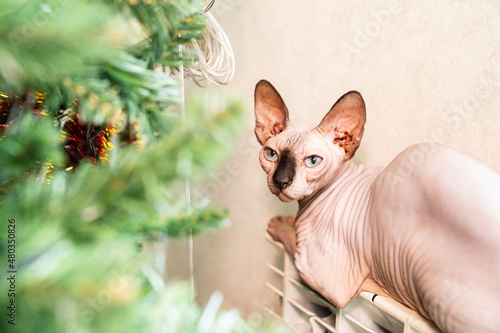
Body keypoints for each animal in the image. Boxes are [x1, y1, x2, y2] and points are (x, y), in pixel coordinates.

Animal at [256, 79, 500, 330]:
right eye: (271, 154)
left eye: (313, 161)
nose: (281, 181)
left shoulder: (323, 277)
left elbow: (291, 241)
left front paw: (280, 224)